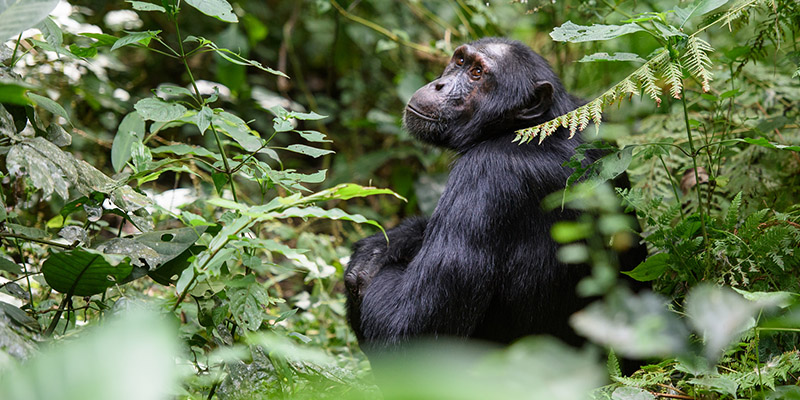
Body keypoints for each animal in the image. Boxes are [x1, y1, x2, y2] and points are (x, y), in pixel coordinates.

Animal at [344, 36, 636, 354]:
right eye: (460, 61)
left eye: (477, 74)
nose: (440, 85)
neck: (531, 129)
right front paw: (390, 242)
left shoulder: (485, 175)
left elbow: (409, 327)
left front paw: (369, 263)